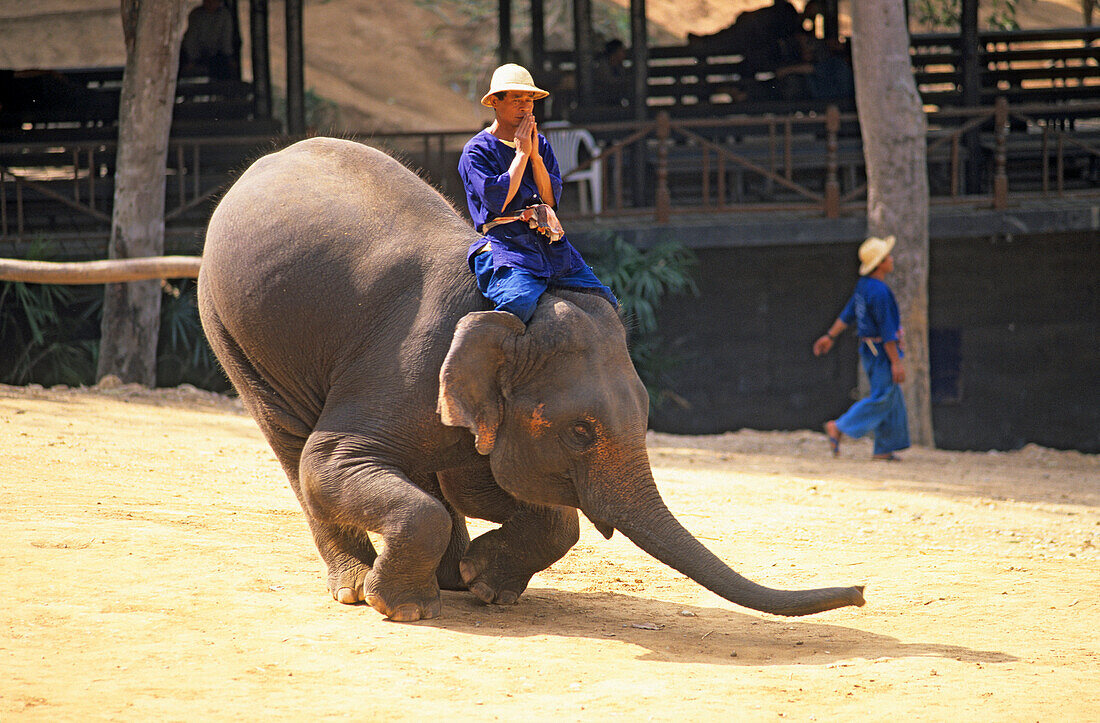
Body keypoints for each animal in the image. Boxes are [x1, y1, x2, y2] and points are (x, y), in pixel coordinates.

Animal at [200, 137, 866, 620]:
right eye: (580, 432)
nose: (861, 592)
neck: (515, 314)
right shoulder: (398, 370)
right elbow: (329, 461)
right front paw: (407, 608)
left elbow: (490, 484)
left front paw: (483, 585)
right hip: (230, 328)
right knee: (293, 447)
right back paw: (360, 587)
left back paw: (446, 577)